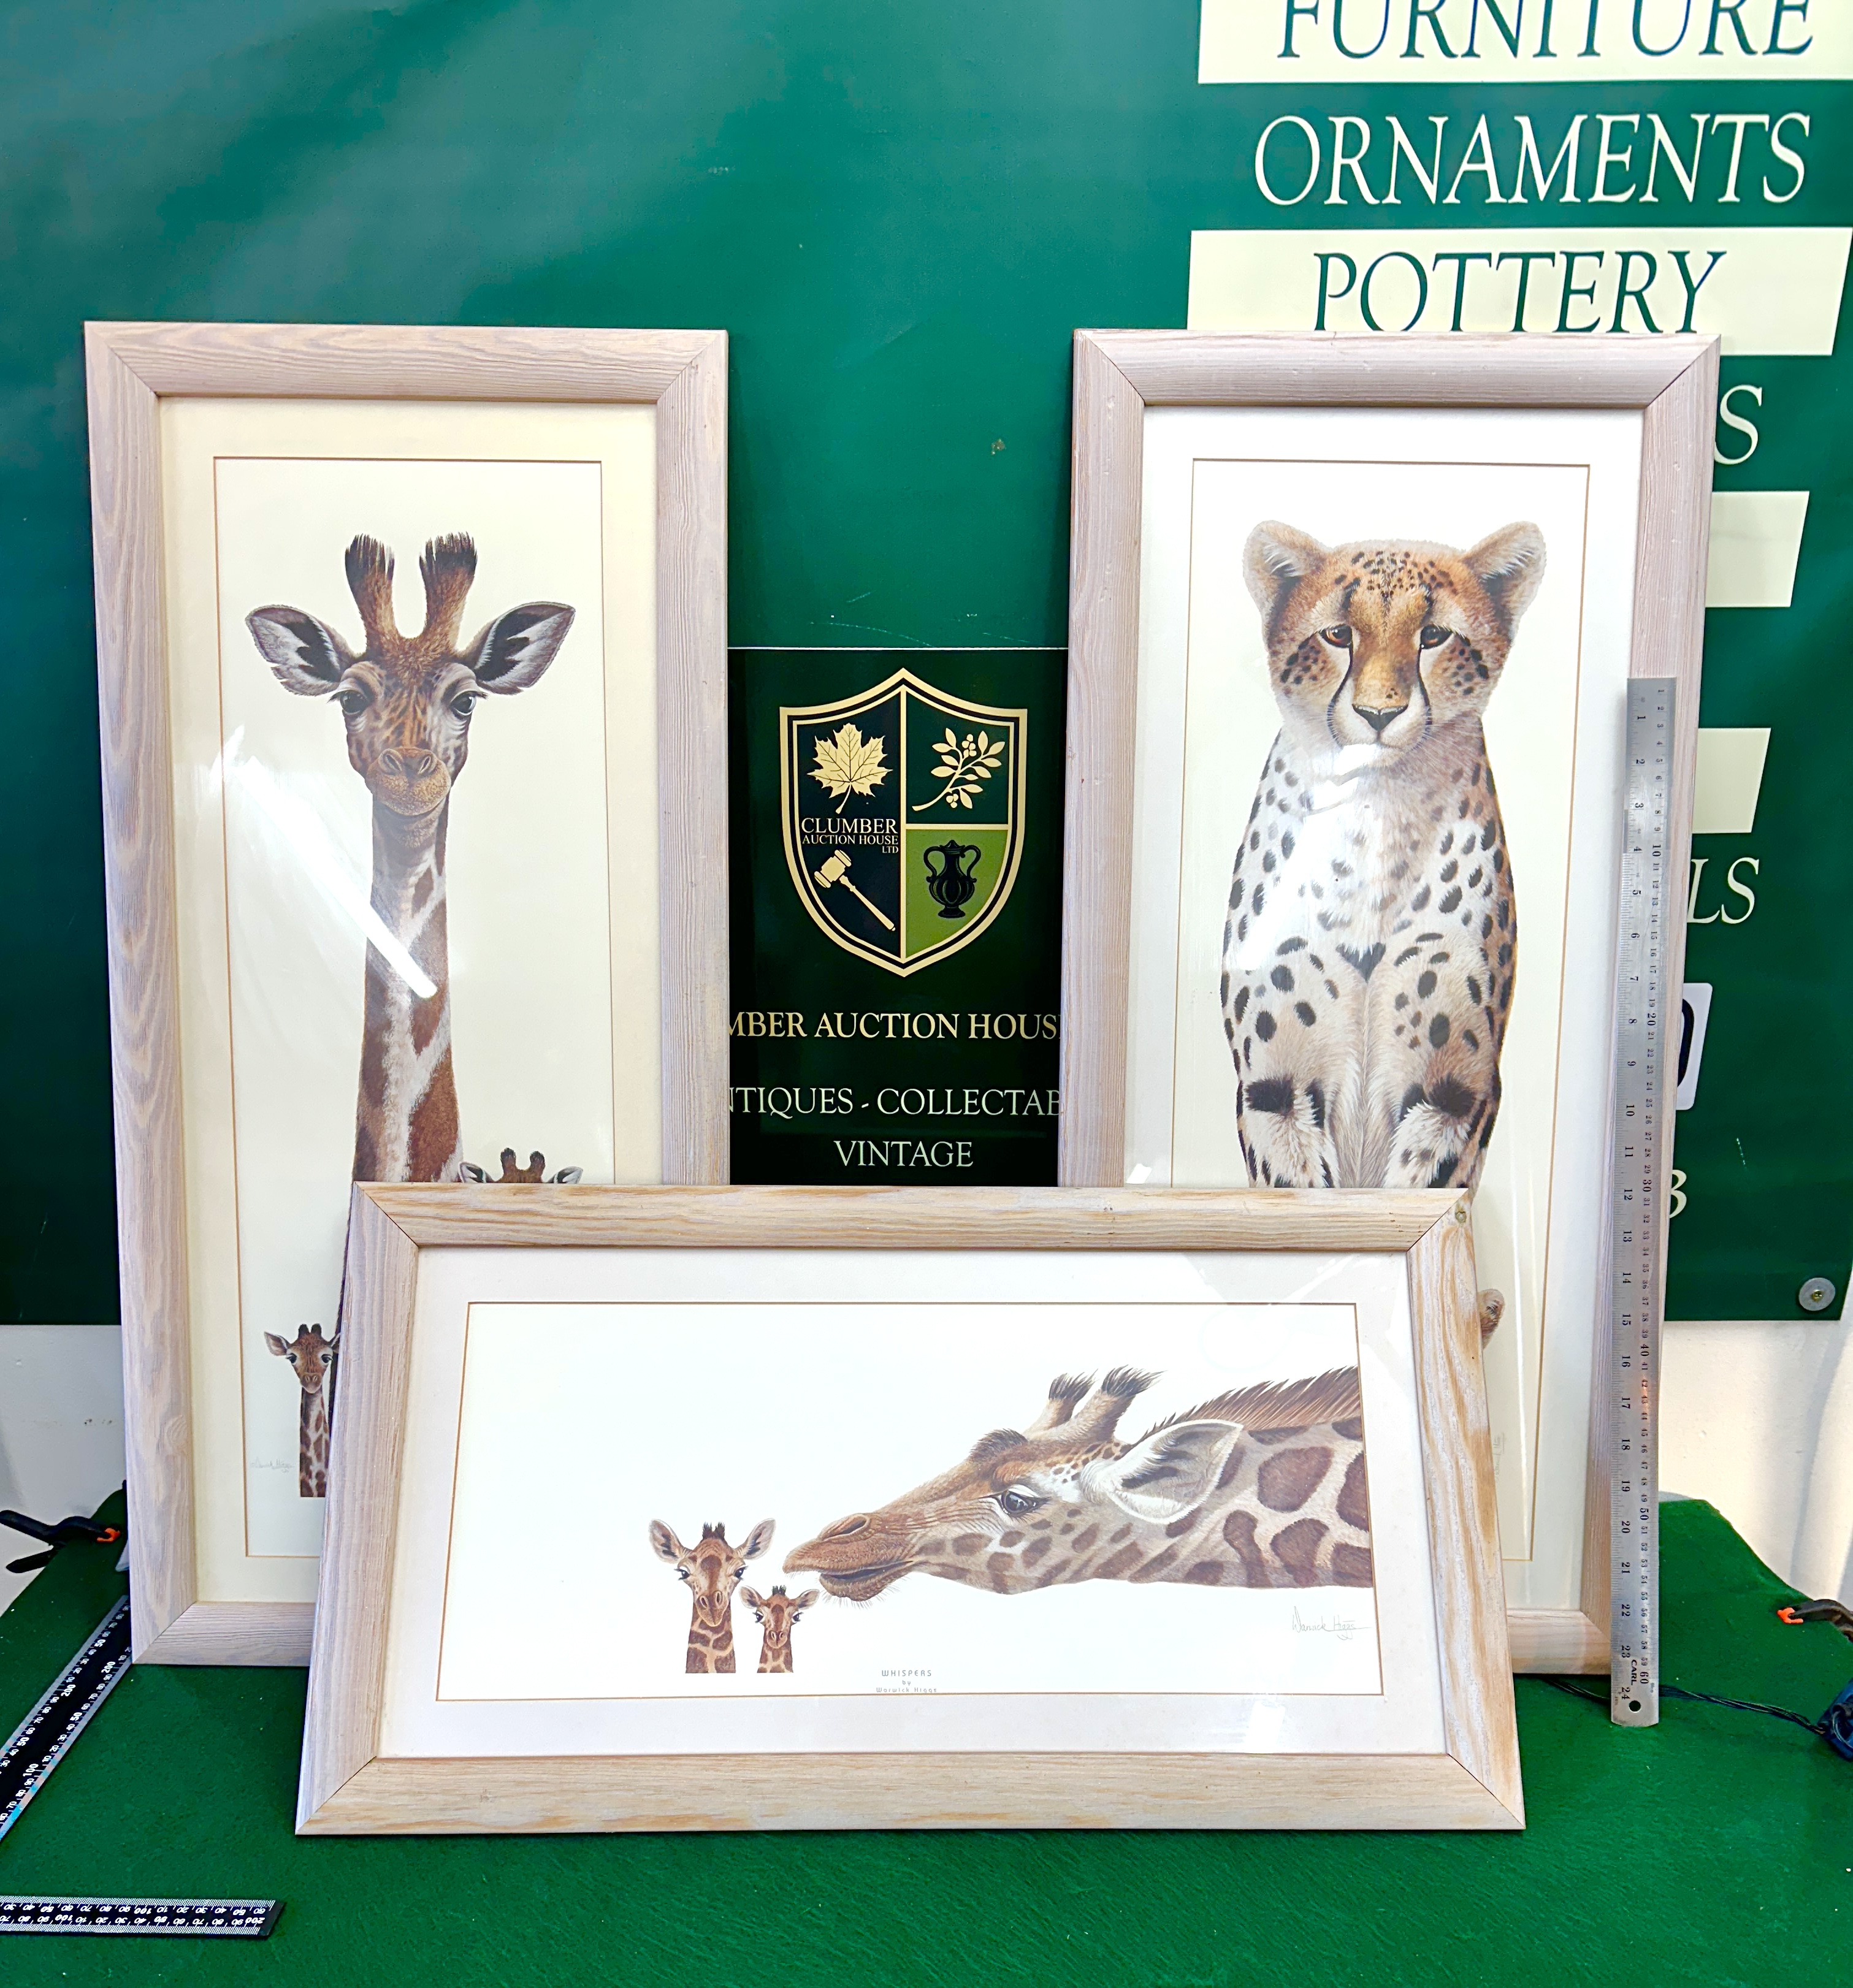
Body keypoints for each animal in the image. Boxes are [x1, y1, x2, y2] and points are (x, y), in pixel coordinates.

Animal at [1219, 518, 1546, 1193]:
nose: (1378, 713)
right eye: (1338, 635)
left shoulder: (1455, 1090)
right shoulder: (1274, 1087)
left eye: (1434, 636)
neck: (1376, 811)